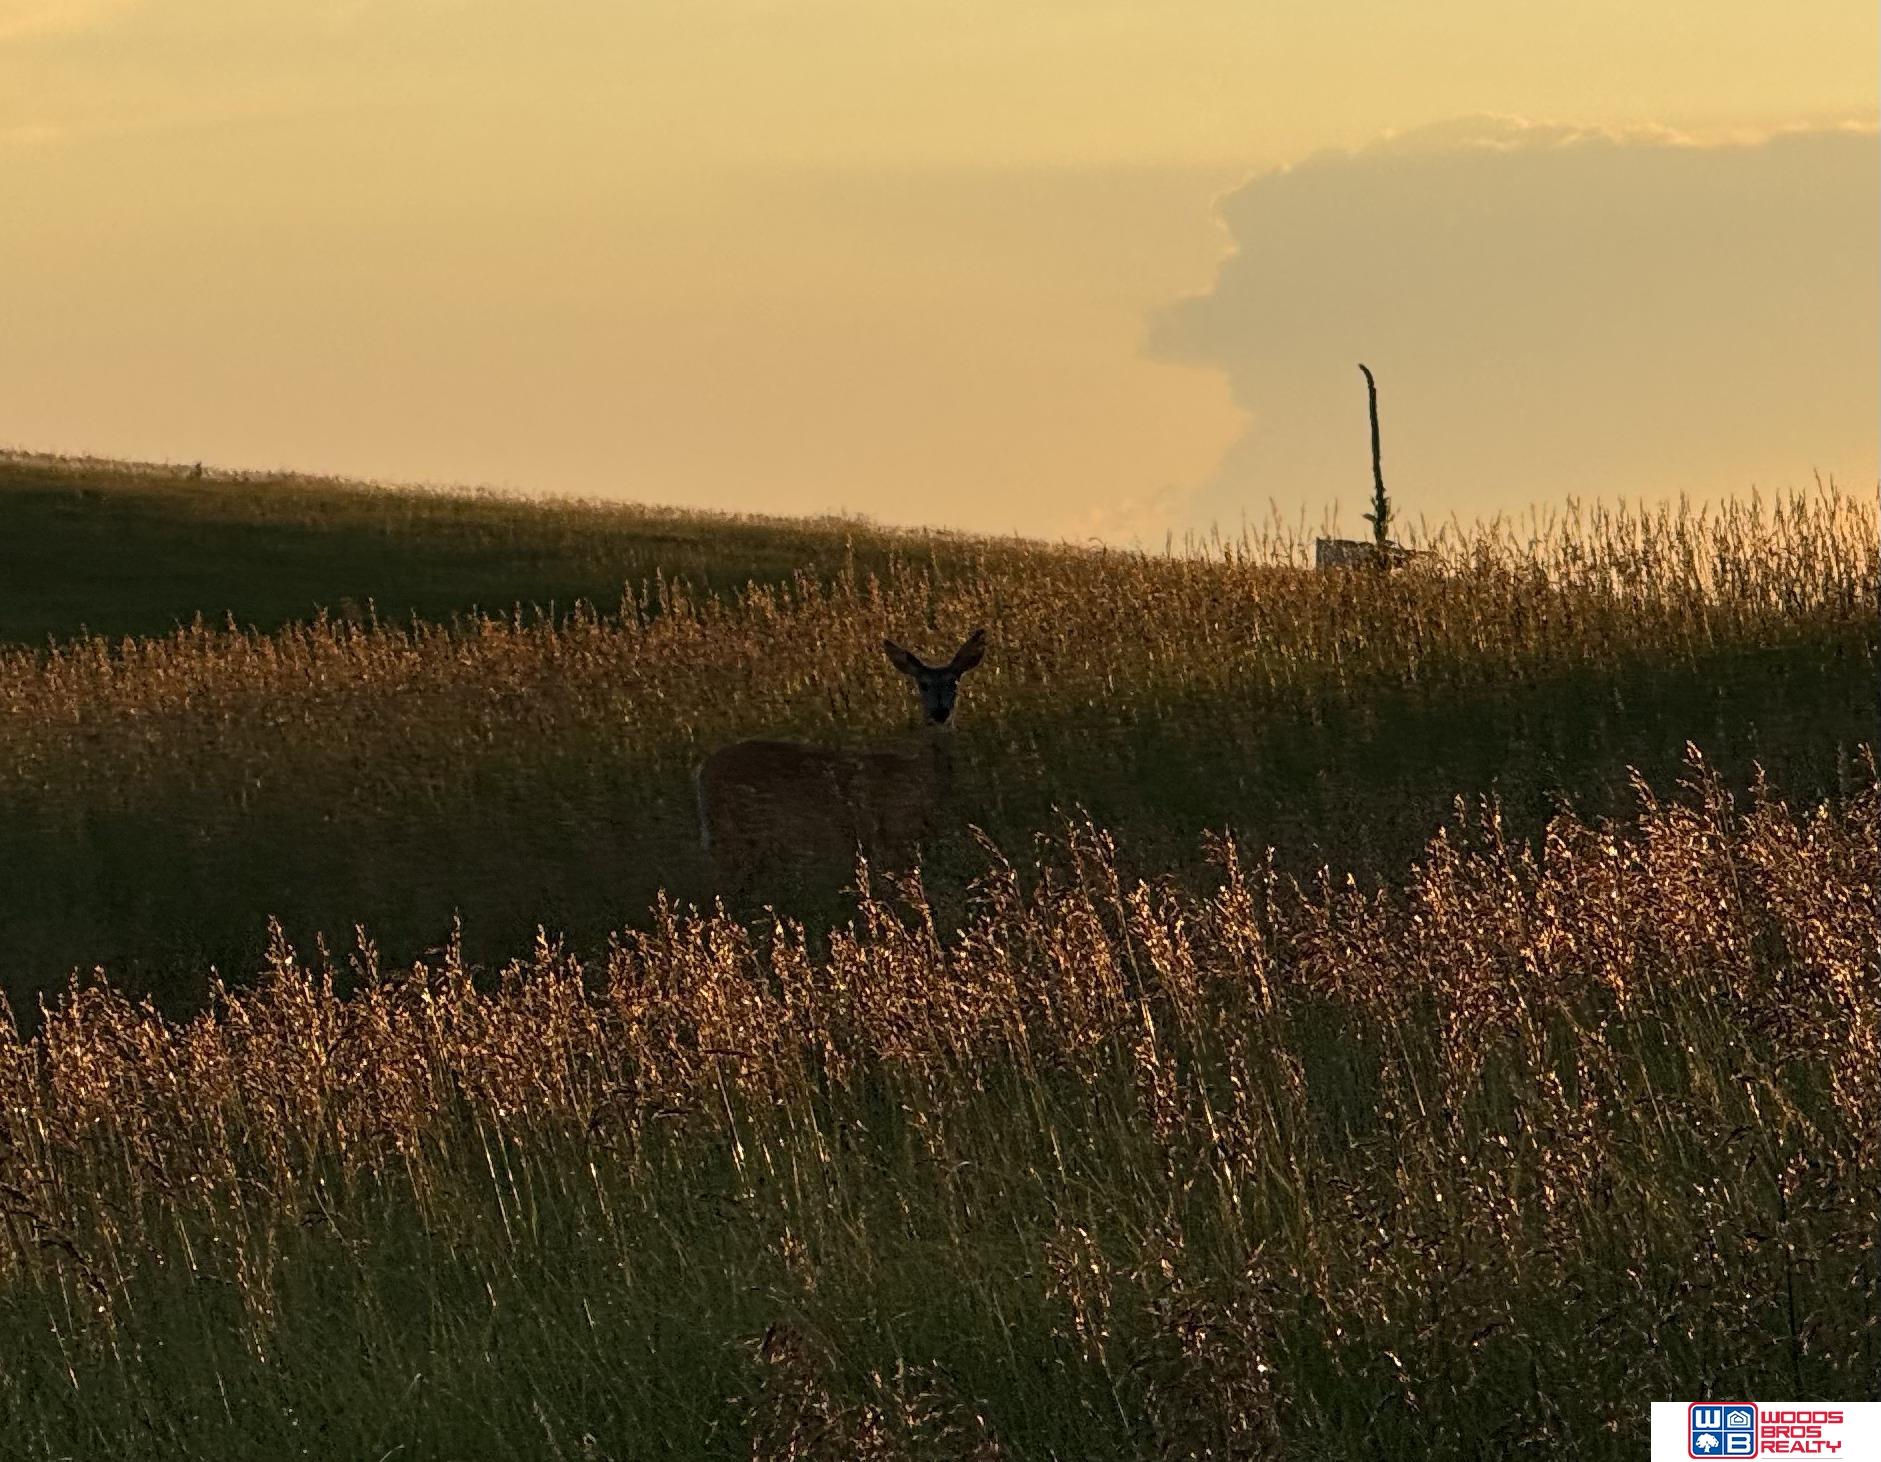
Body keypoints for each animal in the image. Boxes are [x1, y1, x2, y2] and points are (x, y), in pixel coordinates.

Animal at [692, 628, 985, 876]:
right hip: (733, 833)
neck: (924, 776)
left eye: (955, 682)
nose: (940, 713)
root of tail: (703, 773)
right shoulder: (889, 832)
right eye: (922, 684)